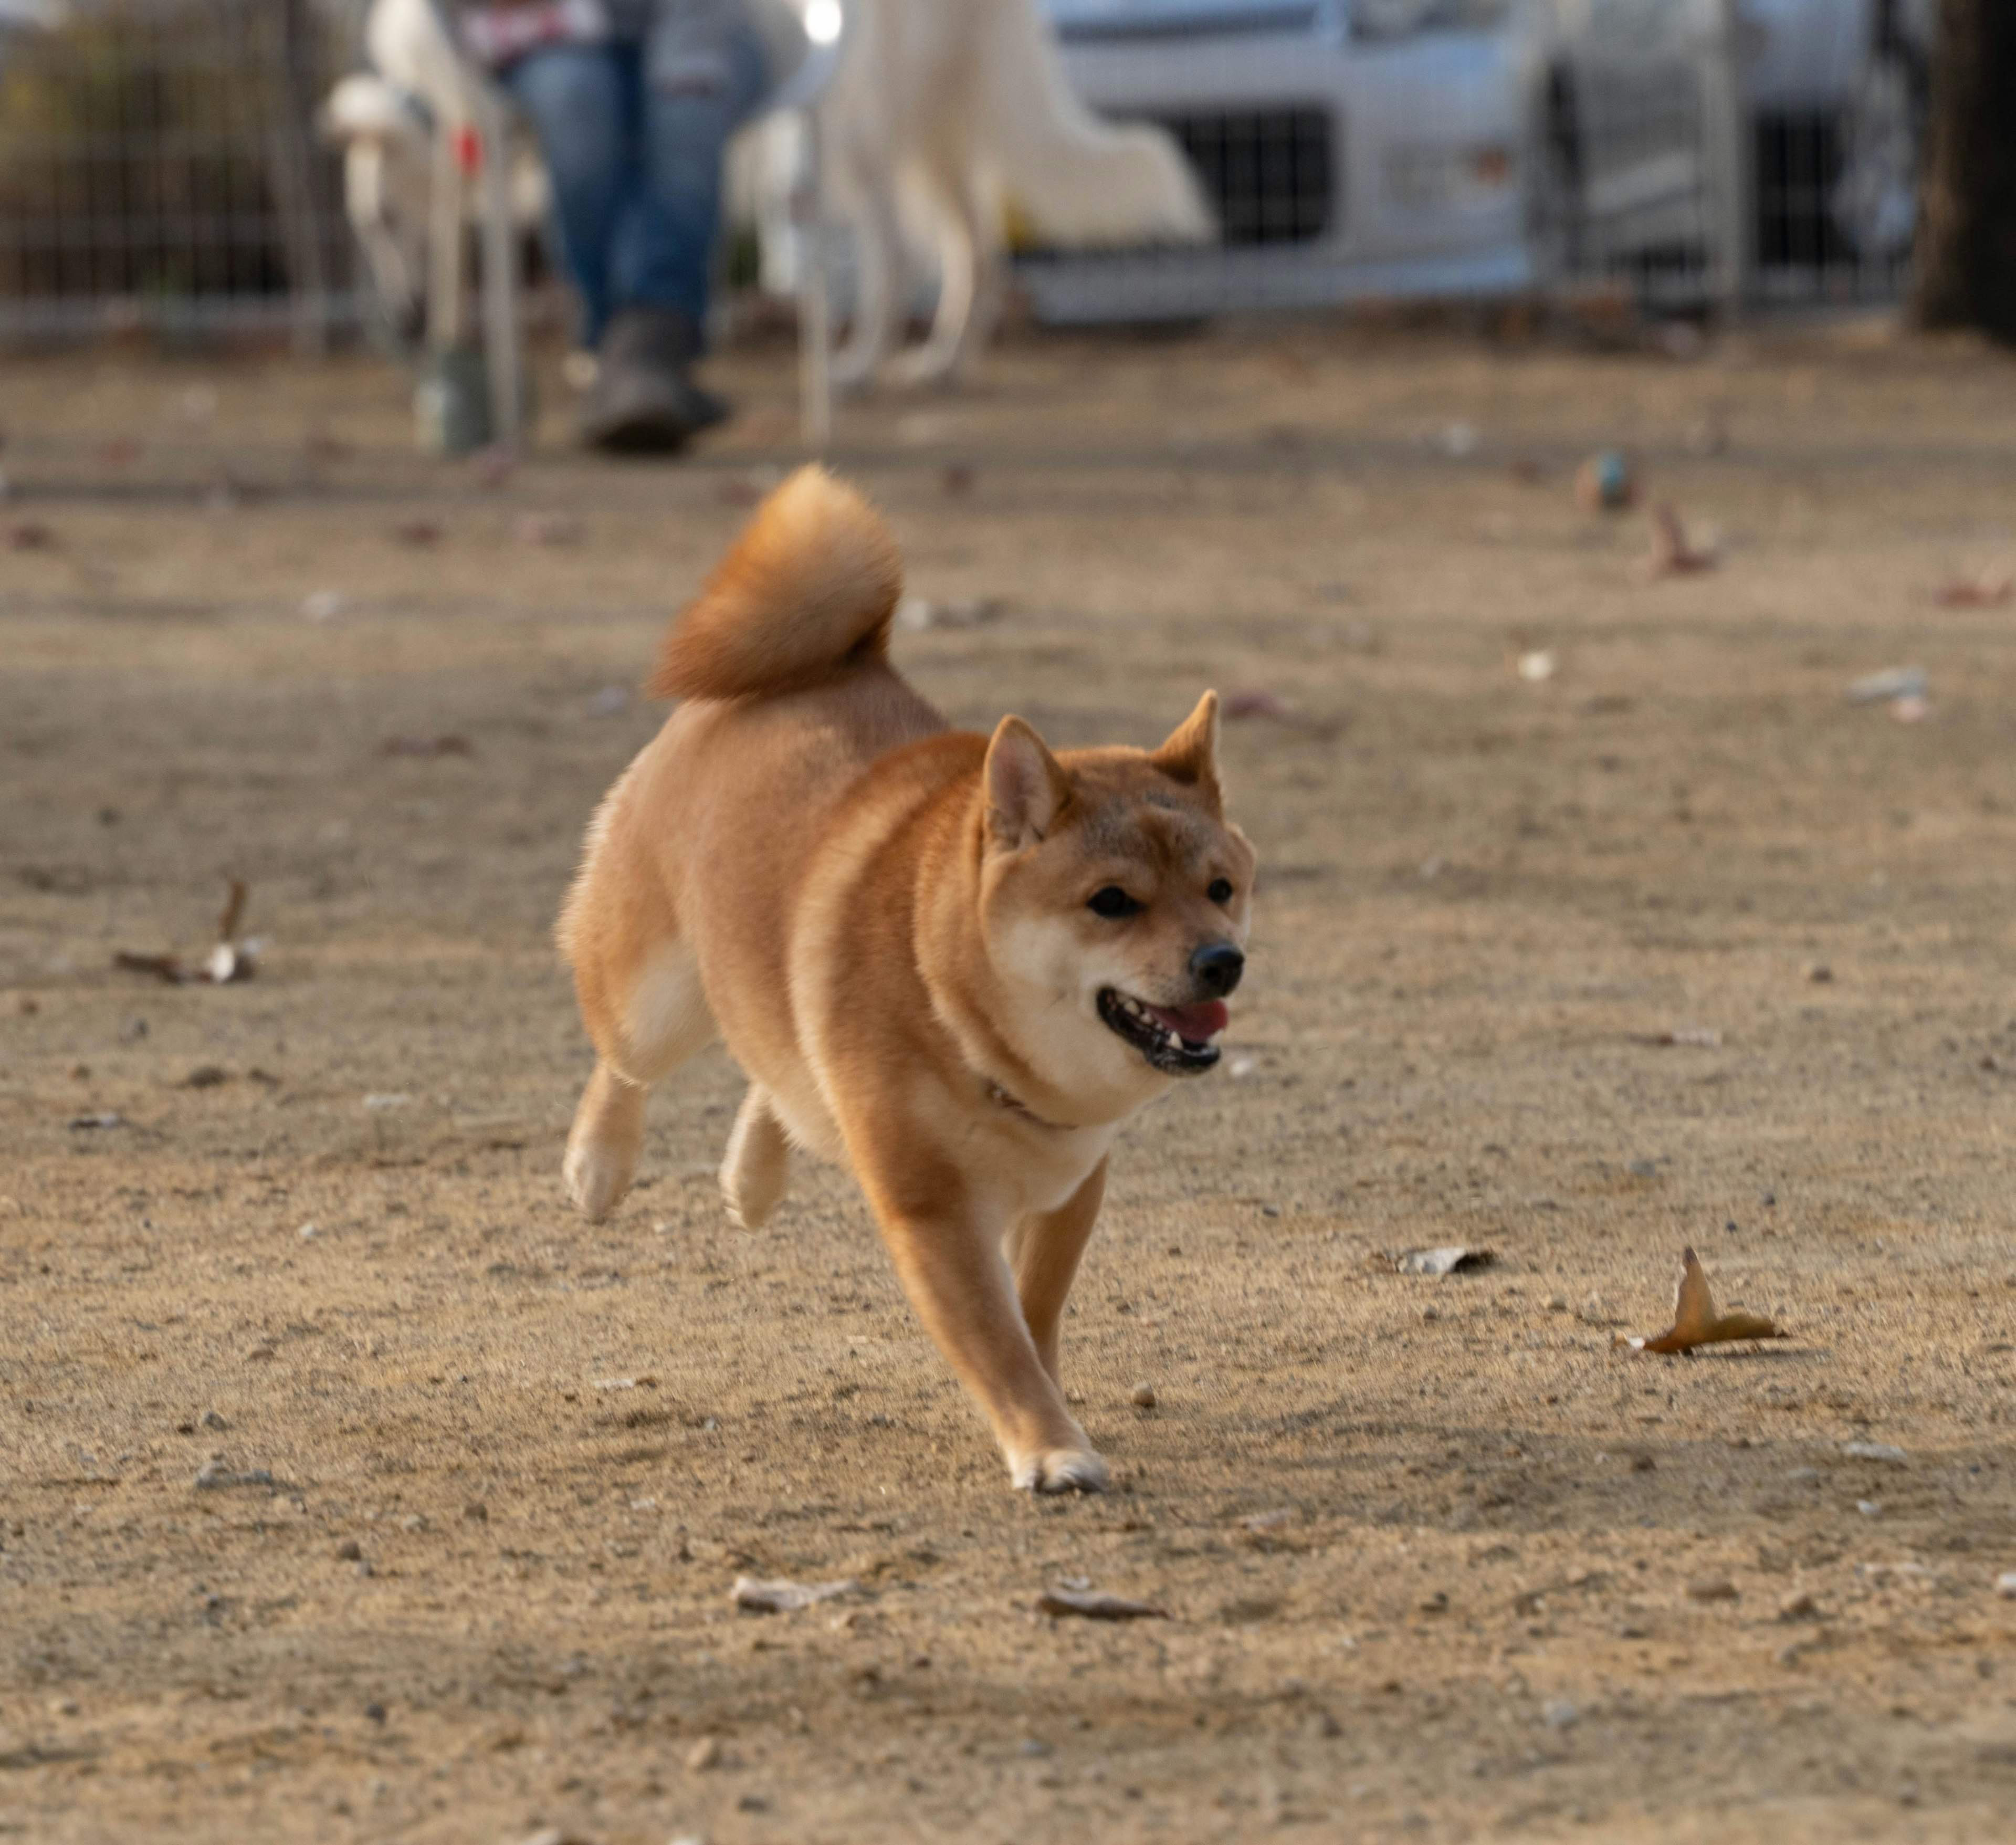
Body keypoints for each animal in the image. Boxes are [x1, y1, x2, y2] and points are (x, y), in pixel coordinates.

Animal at [560, 469, 1250, 1492]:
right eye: (1113, 902)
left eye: (1220, 890)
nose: (1221, 960)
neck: (972, 1032)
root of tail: (826, 664)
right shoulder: (933, 1211)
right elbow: (998, 1341)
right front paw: (1050, 1448)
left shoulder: (1069, 1190)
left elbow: (1034, 1319)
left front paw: (1053, 1416)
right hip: (654, 998)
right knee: (626, 1060)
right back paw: (600, 1164)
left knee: (783, 1068)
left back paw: (753, 1177)